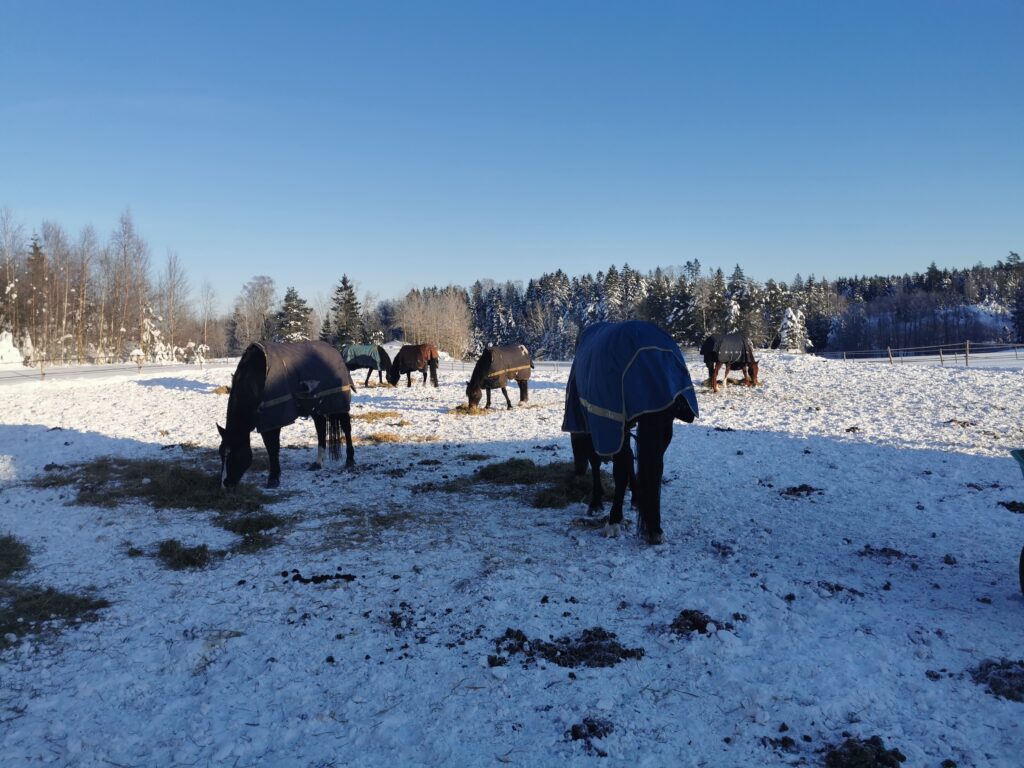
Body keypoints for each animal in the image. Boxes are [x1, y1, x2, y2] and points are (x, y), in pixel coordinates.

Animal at [217, 342, 356, 489]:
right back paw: (318, 463)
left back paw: (350, 460)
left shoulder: (272, 418)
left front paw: (273, 479)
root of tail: (335, 351)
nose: (224, 485)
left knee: (346, 428)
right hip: (315, 407)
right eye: (221, 453)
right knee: (321, 428)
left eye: (234, 454)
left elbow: (272, 448)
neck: (255, 378)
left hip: (339, 404)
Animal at [565, 321, 700, 544]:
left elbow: (606, 464)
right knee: (654, 467)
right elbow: (630, 461)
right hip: (663, 427)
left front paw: (600, 506)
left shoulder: (602, 425)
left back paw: (618, 519)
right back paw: (654, 526)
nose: (577, 470)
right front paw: (637, 499)